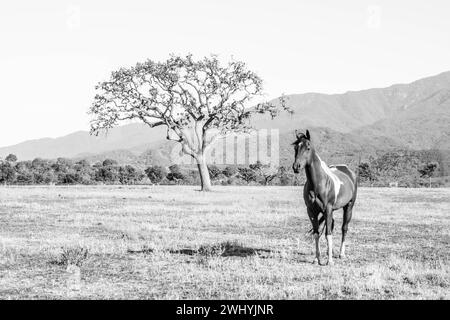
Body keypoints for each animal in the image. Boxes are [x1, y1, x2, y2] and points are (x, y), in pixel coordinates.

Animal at [292, 129, 358, 264]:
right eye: (295, 147)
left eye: (308, 148)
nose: (296, 167)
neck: (319, 183)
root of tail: (348, 171)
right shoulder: (312, 211)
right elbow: (317, 233)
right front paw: (317, 259)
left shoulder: (328, 209)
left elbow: (328, 234)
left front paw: (330, 261)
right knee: (331, 225)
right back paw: (329, 252)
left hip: (348, 206)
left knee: (344, 228)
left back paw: (341, 254)